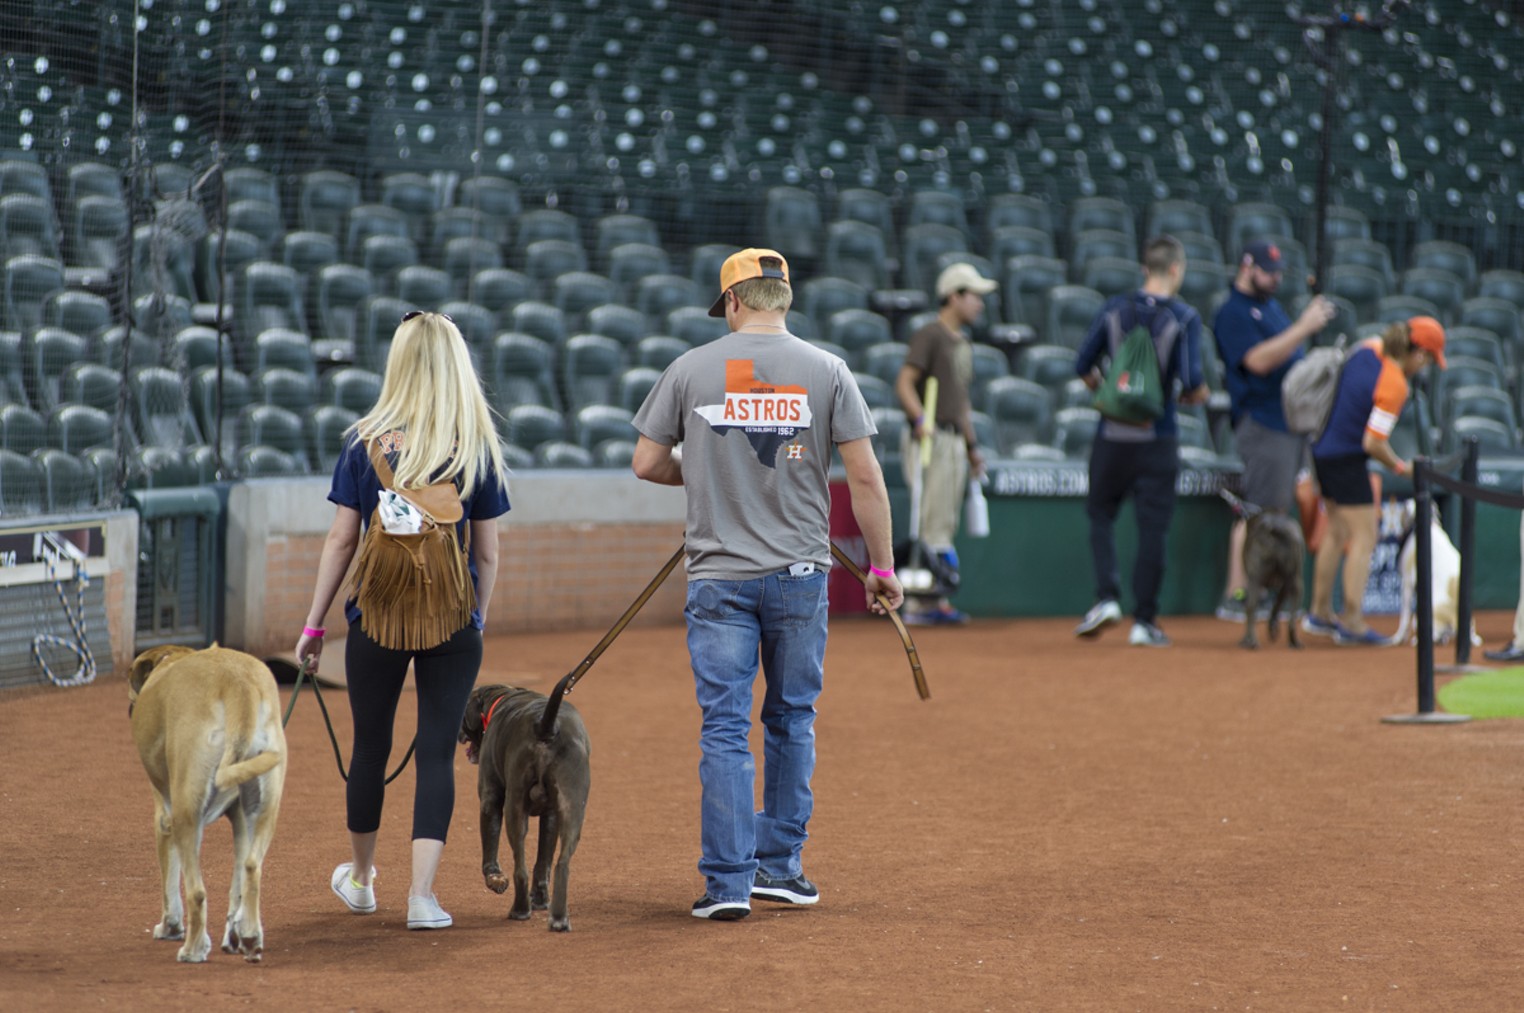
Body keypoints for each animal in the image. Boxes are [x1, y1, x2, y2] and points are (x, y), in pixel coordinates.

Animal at [129, 642, 286, 962]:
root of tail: (237, 682)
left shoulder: (164, 819)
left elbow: (170, 886)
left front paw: (169, 926)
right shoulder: (240, 820)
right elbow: (237, 886)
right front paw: (235, 933)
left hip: (186, 813)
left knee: (196, 892)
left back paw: (193, 949)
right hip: (264, 809)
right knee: (251, 868)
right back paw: (248, 936)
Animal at [457, 682, 588, 926]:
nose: (459, 735)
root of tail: (545, 725)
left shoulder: (490, 798)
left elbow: (490, 849)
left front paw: (495, 878)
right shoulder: (551, 815)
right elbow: (543, 862)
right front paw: (540, 899)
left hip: (514, 808)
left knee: (520, 869)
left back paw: (519, 910)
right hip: (573, 810)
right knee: (561, 864)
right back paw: (558, 917)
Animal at [1243, 514, 1304, 648]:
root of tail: (1274, 527)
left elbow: (1276, 604)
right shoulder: (1286, 584)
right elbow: (1277, 604)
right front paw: (1273, 627)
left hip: (1256, 579)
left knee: (1250, 606)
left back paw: (1252, 640)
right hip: (1296, 581)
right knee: (1292, 618)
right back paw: (1293, 640)